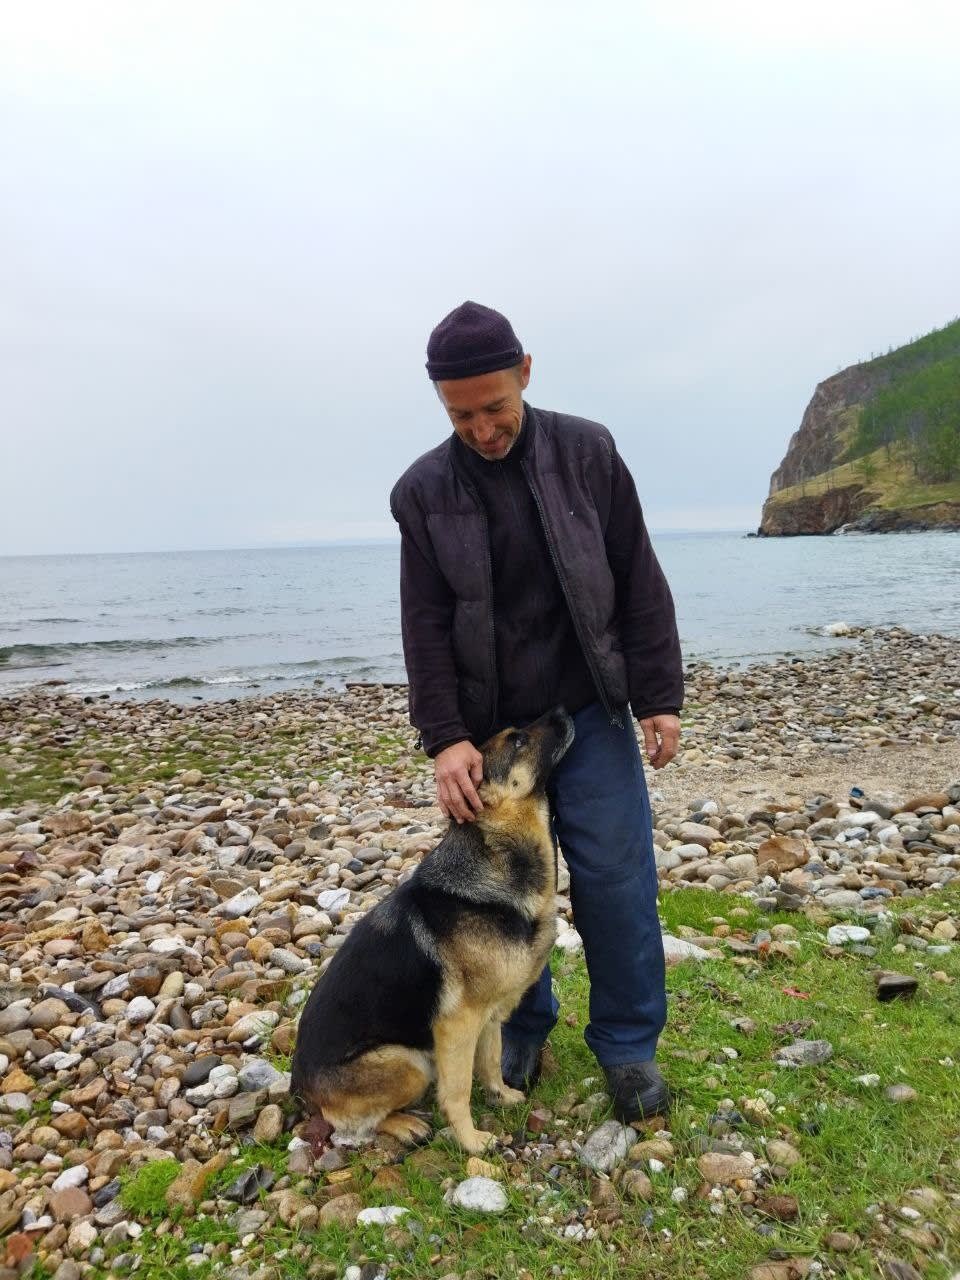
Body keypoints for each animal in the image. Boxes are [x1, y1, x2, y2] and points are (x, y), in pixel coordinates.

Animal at [290, 706, 574, 1155]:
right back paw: (406, 1124)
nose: (564, 708)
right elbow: (457, 1090)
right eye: (516, 739)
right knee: (348, 1125)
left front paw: (501, 1096)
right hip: (409, 1063)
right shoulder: (457, 1025)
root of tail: (302, 1089)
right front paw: (471, 1140)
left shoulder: (489, 1016)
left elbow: (490, 1062)